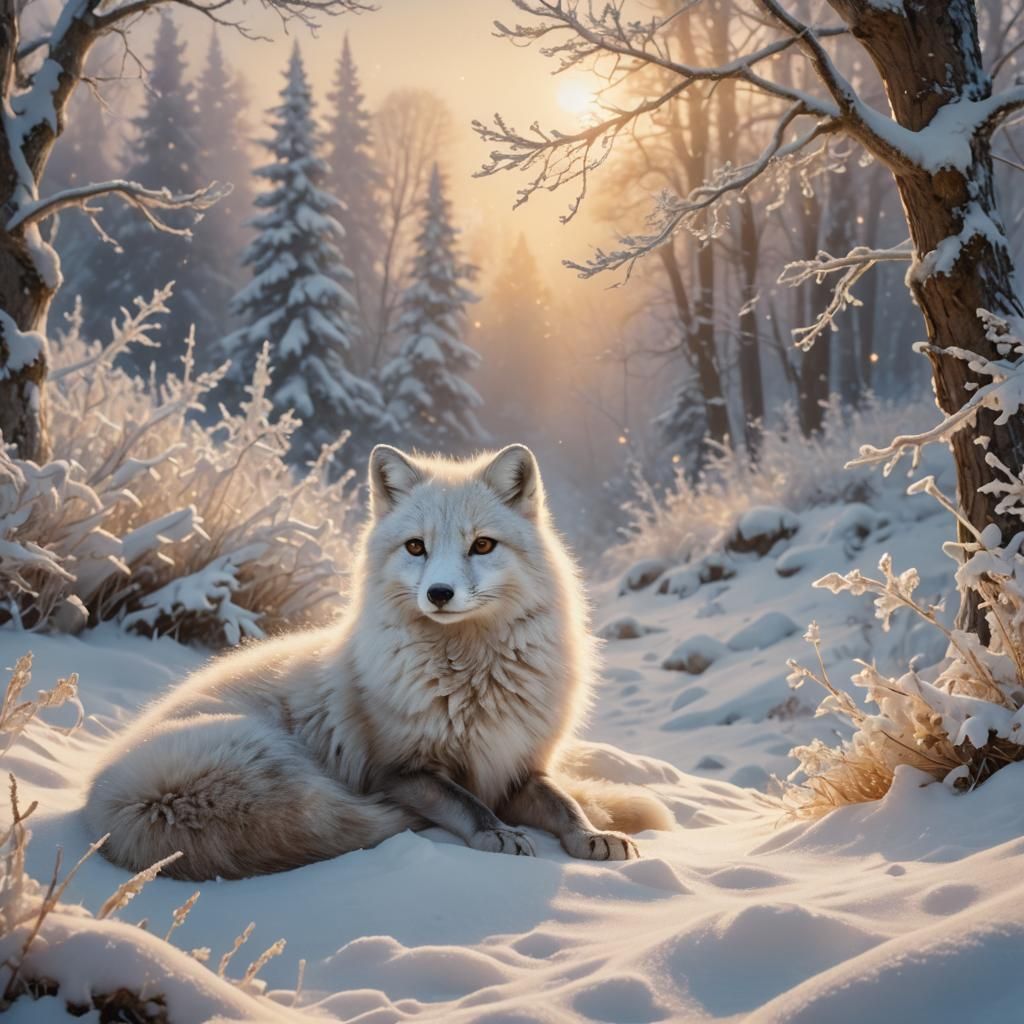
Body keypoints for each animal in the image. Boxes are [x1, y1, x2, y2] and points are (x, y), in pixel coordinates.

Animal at [84, 443, 672, 881]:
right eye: (415, 547)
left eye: (483, 546)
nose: (439, 593)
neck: (472, 678)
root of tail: (110, 803)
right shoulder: (401, 771)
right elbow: (467, 802)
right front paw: (498, 833)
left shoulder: (516, 767)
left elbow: (564, 802)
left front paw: (593, 835)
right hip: (269, 754)